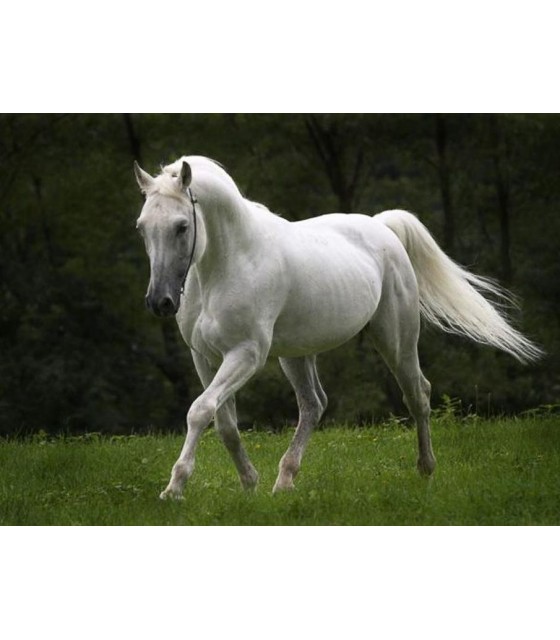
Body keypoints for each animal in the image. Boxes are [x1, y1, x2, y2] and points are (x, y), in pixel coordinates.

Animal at [133, 155, 542, 499]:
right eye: (142, 228)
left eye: (182, 226)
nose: (159, 302)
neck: (230, 263)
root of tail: (382, 227)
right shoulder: (204, 357)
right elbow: (223, 422)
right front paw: (249, 484)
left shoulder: (246, 354)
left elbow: (200, 411)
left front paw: (174, 488)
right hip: (296, 354)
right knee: (314, 405)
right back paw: (284, 482)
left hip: (395, 340)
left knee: (417, 395)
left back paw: (425, 470)